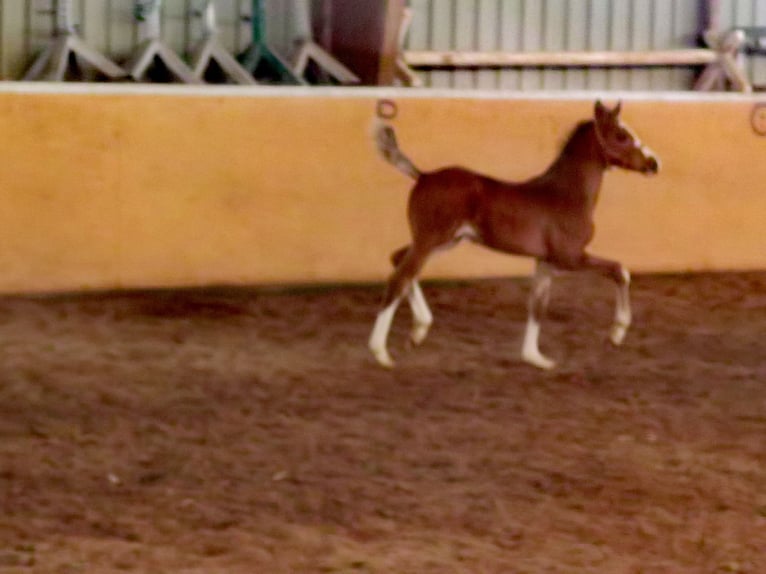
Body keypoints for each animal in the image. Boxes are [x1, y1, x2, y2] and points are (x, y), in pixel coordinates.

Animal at [370, 100, 660, 372]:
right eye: (621, 135)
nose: (654, 163)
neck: (566, 194)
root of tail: (423, 176)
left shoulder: (545, 262)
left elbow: (538, 306)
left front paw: (535, 358)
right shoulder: (570, 258)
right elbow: (620, 271)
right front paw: (617, 332)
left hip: (444, 241)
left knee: (398, 260)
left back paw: (419, 330)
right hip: (431, 239)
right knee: (400, 278)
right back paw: (381, 352)